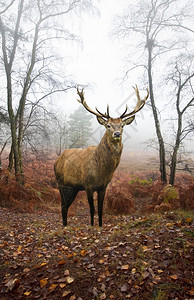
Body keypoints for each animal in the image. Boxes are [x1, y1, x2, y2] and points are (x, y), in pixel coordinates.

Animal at [53, 85, 149, 226]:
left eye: (122, 125)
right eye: (108, 125)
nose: (117, 134)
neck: (102, 171)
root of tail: (56, 160)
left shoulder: (103, 187)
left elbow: (100, 210)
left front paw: (100, 225)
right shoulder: (88, 185)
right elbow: (92, 210)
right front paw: (92, 226)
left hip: (74, 188)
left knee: (65, 206)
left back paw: (65, 225)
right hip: (60, 183)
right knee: (63, 206)